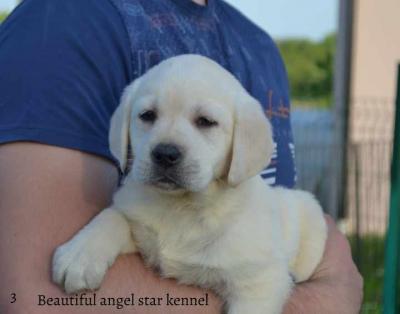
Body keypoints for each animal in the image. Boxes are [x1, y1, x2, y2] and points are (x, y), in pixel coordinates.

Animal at [53, 54, 326, 314]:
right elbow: (113, 216)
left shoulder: (259, 284)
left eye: (205, 121)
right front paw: (79, 254)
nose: (165, 154)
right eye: (147, 116)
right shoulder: (139, 231)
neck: (181, 207)